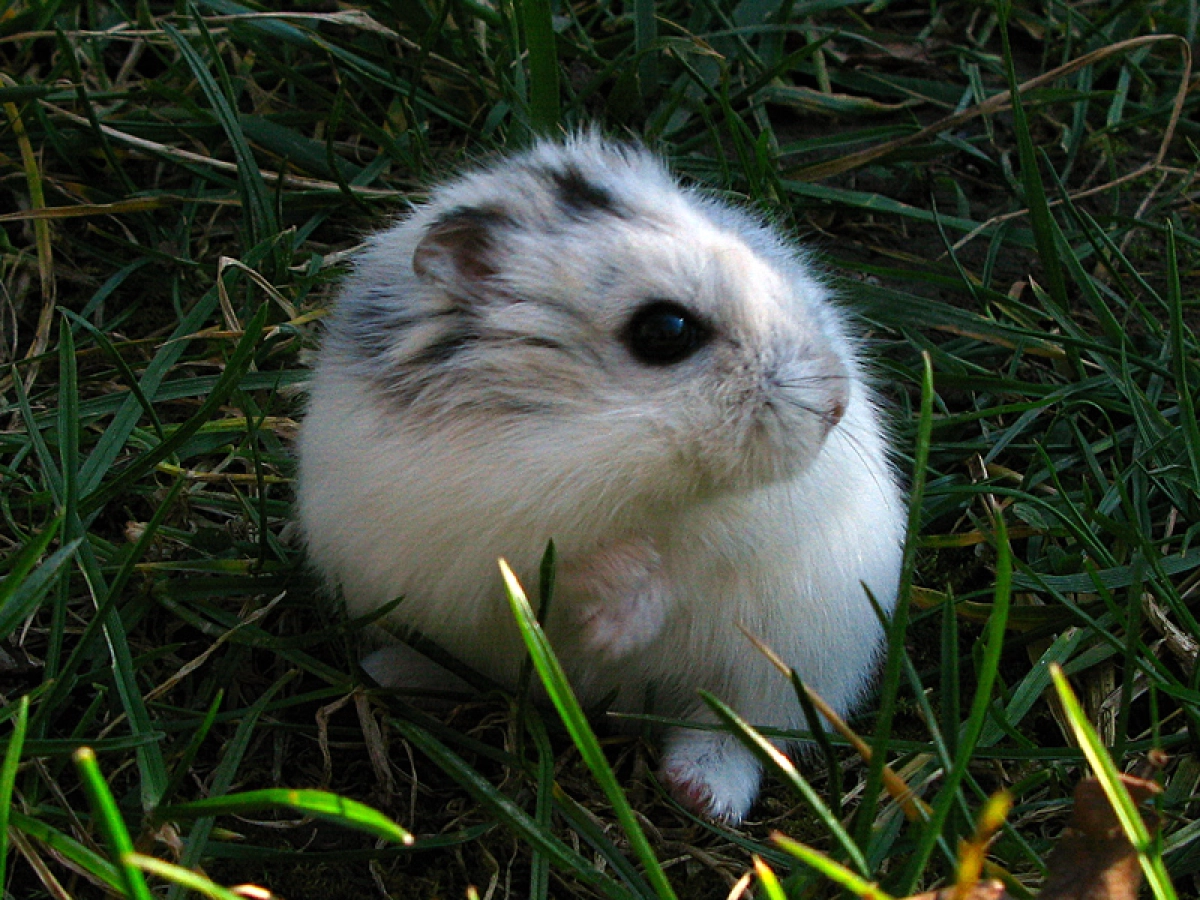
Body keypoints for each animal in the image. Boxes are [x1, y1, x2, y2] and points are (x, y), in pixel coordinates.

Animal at [295, 133, 906, 825]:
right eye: (665, 330)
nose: (835, 404)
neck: (590, 444)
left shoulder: (749, 521)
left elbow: (683, 563)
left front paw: (609, 636)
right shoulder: (460, 537)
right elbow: (549, 567)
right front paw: (603, 617)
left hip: (796, 657)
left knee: (742, 731)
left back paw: (698, 795)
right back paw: (390, 675)